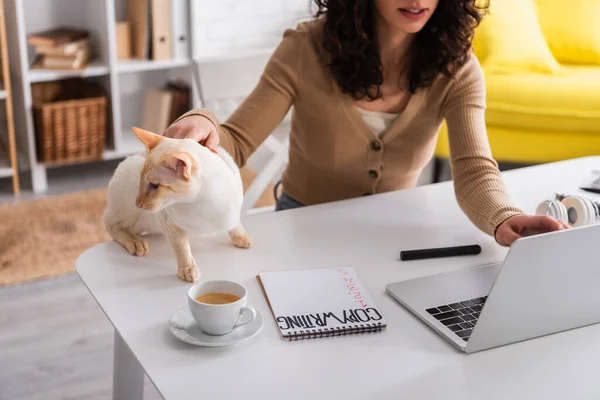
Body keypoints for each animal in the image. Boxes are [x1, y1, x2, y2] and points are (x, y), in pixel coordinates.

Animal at [103, 127, 253, 282]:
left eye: (155, 185)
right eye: (141, 182)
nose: (138, 203)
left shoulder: (233, 208)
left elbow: (235, 223)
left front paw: (241, 237)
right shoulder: (171, 224)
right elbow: (182, 247)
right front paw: (188, 268)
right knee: (110, 224)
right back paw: (136, 243)